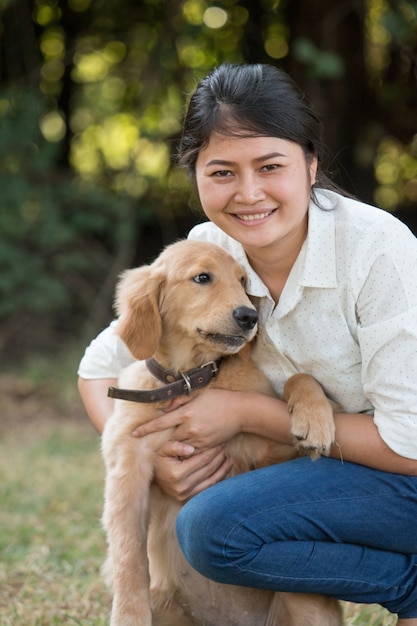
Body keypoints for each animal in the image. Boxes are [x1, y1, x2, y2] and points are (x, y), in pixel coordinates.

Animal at [101, 238, 342, 624]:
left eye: (243, 281)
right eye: (203, 277)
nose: (250, 317)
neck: (189, 382)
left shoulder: (268, 455)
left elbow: (299, 377)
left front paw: (314, 419)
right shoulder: (128, 472)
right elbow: (129, 560)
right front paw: (129, 616)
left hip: (305, 603)